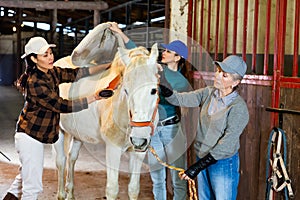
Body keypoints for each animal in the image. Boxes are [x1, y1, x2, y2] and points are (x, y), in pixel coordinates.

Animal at [53, 24, 159, 198]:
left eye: (154, 90)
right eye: (126, 90)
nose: (139, 139)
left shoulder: (138, 152)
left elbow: (133, 188)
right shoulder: (113, 149)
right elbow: (112, 189)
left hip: (78, 134)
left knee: (71, 158)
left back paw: (70, 193)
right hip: (59, 132)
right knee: (61, 161)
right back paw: (62, 194)